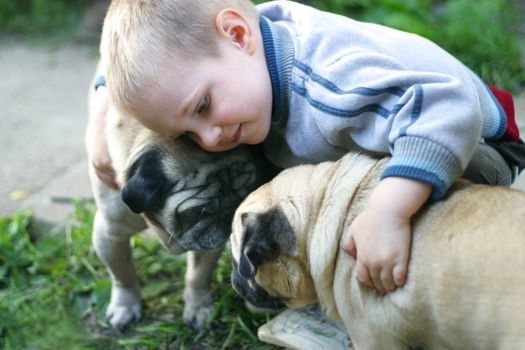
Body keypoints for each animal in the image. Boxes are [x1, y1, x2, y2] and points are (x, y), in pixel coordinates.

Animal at [86, 97, 274, 330]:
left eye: (241, 202)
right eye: (195, 213)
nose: (227, 220)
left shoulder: (207, 243)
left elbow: (197, 275)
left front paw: (198, 307)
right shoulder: (110, 234)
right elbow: (123, 274)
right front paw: (125, 306)